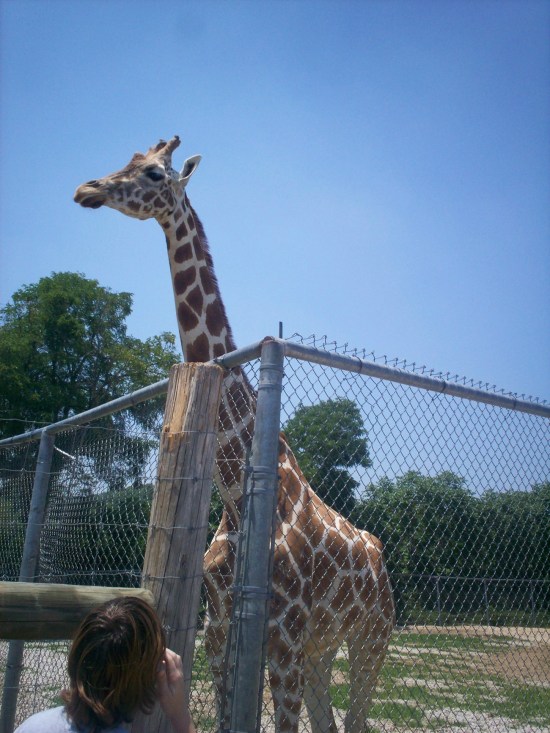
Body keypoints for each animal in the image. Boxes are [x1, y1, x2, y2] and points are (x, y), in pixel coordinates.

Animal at [74, 136, 395, 733]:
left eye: (154, 173)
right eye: (127, 159)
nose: (87, 189)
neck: (232, 495)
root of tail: (381, 557)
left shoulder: (284, 638)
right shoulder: (221, 633)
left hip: (371, 637)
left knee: (358, 716)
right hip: (322, 651)